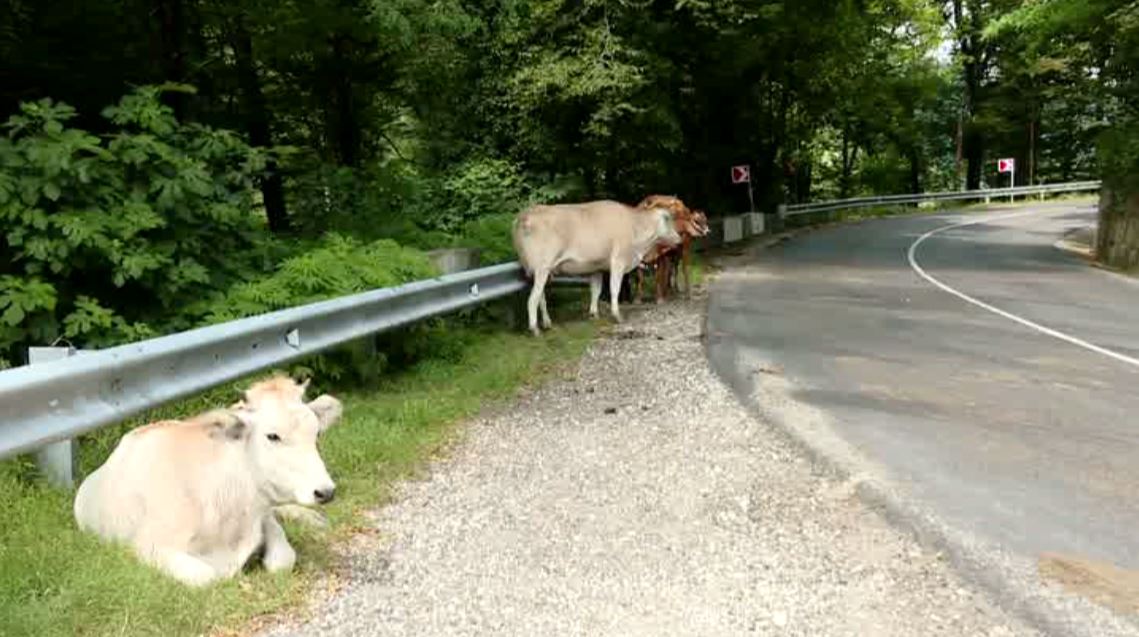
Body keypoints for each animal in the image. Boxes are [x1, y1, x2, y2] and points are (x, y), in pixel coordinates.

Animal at [73, 376, 341, 592]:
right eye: (272, 436)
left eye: (317, 433)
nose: (325, 491)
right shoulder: (149, 546)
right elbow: (206, 577)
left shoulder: (261, 517)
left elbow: (282, 560)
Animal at [512, 201, 678, 337]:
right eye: (668, 219)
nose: (679, 238)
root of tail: (527, 213)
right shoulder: (618, 261)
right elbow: (614, 289)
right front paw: (617, 315)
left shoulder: (596, 267)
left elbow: (596, 291)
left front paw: (594, 314)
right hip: (541, 268)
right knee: (532, 299)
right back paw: (535, 329)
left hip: (540, 272)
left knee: (541, 297)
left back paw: (547, 323)